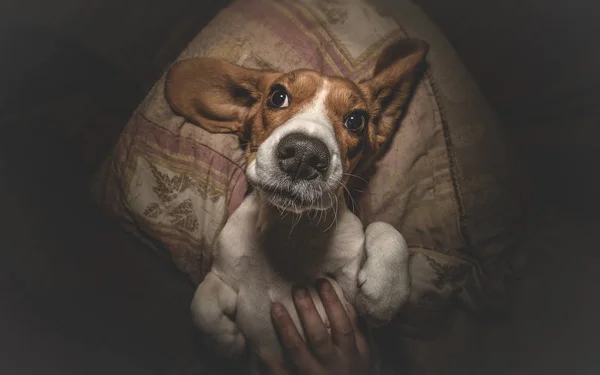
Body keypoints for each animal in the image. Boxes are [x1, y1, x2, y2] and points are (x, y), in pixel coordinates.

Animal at [164, 37, 426, 374]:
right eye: (278, 97)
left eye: (356, 120)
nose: (303, 155)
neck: (287, 230)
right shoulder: (226, 277)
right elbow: (202, 302)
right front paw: (224, 340)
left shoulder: (355, 307)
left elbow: (385, 228)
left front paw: (387, 289)